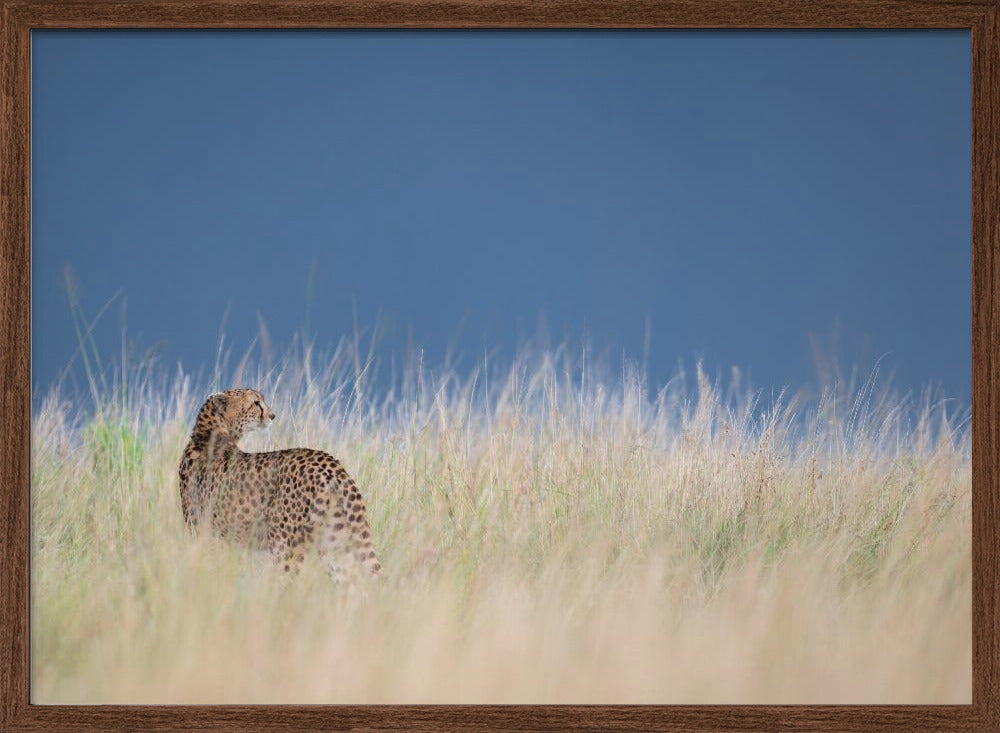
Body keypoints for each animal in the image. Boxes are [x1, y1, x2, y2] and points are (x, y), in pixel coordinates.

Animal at [178, 388, 382, 582]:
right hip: (336, 542)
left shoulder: (205, 534)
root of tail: (328, 462)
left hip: (284, 546)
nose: (272, 415)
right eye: (256, 403)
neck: (209, 434)